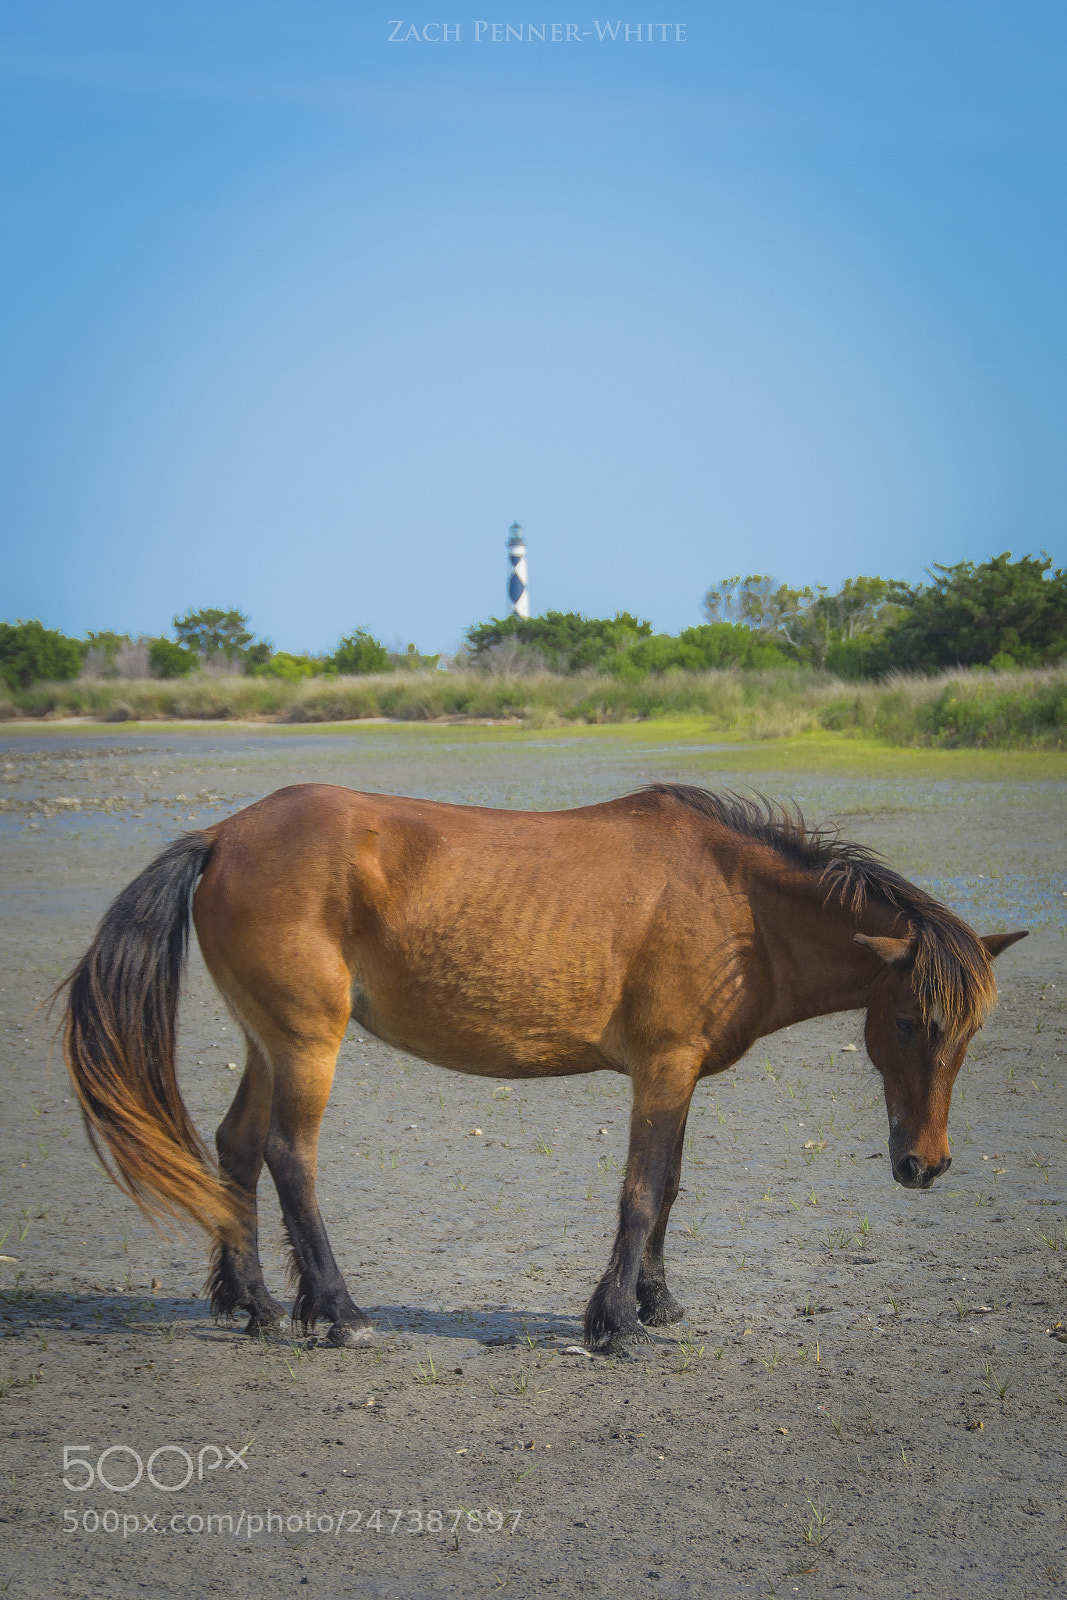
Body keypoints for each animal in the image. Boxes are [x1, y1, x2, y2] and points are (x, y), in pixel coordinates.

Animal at [60, 781, 1026, 1353]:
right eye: (906, 1021)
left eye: (968, 1033)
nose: (925, 1165)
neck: (739, 906)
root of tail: (223, 835)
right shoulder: (661, 1067)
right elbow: (642, 1190)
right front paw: (616, 1321)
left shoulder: (678, 1076)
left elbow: (669, 1187)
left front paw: (656, 1302)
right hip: (306, 1042)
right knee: (288, 1157)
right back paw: (338, 1312)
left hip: (270, 1042)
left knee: (234, 1146)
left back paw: (257, 1305)